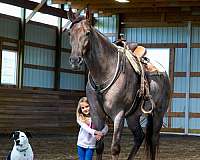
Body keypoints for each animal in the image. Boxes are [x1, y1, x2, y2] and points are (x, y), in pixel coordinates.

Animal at [67, 11, 170, 160]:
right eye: (69, 33)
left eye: (87, 33)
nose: (75, 60)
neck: (104, 72)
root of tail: (164, 73)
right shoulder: (96, 113)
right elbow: (99, 146)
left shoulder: (118, 114)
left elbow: (115, 148)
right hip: (133, 116)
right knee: (139, 136)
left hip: (158, 114)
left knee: (153, 139)